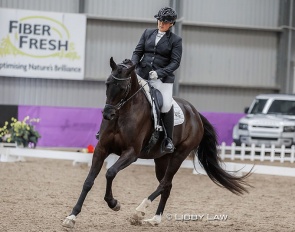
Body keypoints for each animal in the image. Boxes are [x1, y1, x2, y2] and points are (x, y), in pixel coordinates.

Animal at [62, 57, 252, 227]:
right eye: (107, 83)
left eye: (123, 88)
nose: (108, 114)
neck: (123, 114)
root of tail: (195, 113)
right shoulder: (101, 148)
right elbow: (88, 181)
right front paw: (71, 217)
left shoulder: (131, 153)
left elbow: (110, 173)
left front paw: (113, 203)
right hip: (161, 159)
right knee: (167, 186)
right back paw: (155, 219)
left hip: (179, 155)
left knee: (165, 183)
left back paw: (140, 210)